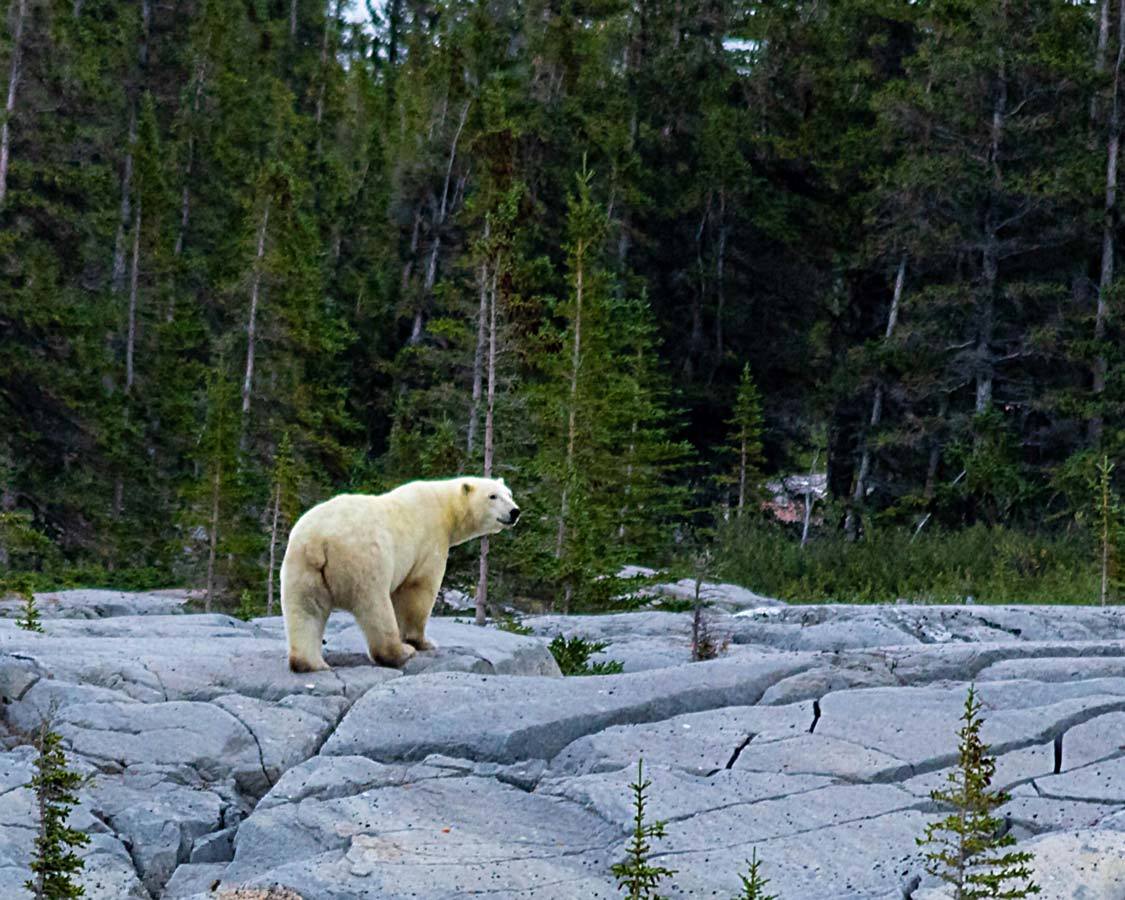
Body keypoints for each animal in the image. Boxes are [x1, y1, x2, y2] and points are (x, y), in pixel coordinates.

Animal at [281, 477, 517, 666]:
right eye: (493, 496)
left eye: (509, 494)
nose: (515, 511)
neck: (445, 507)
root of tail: (318, 542)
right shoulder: (429, 541)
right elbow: (418, 590)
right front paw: (423, 642)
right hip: (364, 560)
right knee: (375, 607)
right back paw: (401, 652)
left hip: (301, 567)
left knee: (305, 610)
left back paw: (311, 663)